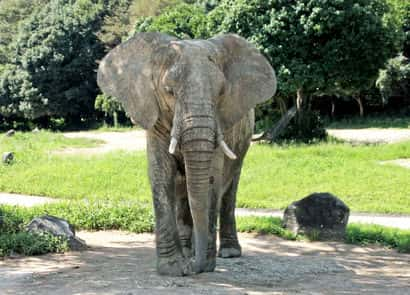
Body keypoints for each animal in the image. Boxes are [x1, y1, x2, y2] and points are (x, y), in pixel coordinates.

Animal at [97, 33, 276, 278]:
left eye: (221, 92)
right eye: (169, 91)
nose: (193, 269)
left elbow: (213, 181)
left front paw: (204, 265)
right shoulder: (155, 118)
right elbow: (161, 174)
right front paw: (173, 268)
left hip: (243, 142)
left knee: (229, 189)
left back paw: (228, 253)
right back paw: (188, 250)